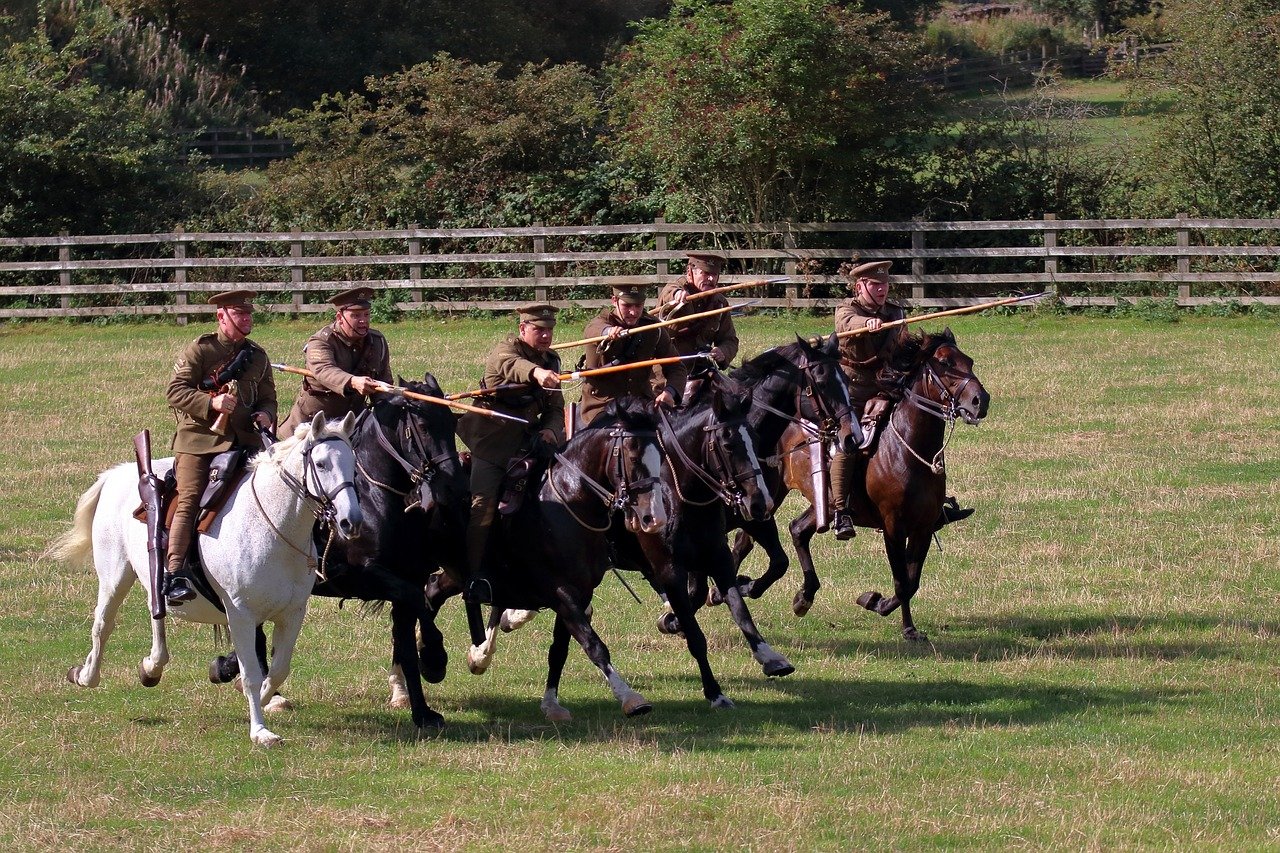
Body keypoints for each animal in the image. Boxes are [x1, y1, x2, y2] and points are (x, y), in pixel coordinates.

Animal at [49, 412, 360, 742]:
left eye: (353, 462)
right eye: (322, 464)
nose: (350, 521)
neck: (273, 526)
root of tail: (117, 475)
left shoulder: (292, 613)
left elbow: (278, 670)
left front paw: (265, 698)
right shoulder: (241, 614)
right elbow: (251, 673)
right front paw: (260, 731)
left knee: (155, 609)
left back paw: (151, 666)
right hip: (114, 577)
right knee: (102, 625)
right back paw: (86, 676)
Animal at [204, 376, 471, 727]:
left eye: (453, 423)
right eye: (425, 427)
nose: (456, 488)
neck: (377, 499)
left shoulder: (407, 579)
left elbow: (407, 636)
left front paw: (421, 710)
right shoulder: (367, 577)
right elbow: (419, 608)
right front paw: (434, 659)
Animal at [732, 325, 988, 637]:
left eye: (969, 362)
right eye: (945, 363)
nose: (980, 401)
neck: (907, 450)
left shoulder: (923, 528)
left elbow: (912, 581)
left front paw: (894, 616)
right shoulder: (893, 527)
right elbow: (902, 582)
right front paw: (885, 610)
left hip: (822, 503)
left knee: (795, 530)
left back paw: (796, 595)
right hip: (771, 492)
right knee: (747, 540)